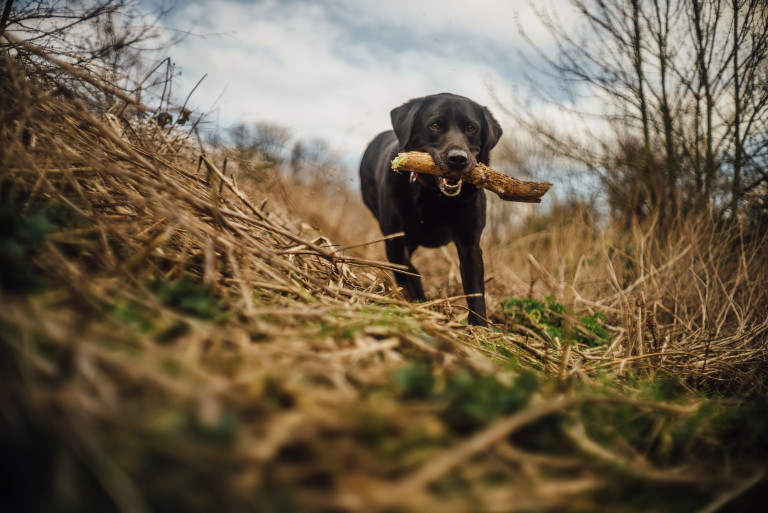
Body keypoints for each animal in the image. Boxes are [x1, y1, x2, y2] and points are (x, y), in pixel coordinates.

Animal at [362, 93, 504, 324]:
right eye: (435, 125)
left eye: (471, 128)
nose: (458, 158)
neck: (436, 197)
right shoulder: (395, 241)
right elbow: (407, 273)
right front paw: (417, 300)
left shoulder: (470, 244)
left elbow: (475, 291)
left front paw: (480, 327)